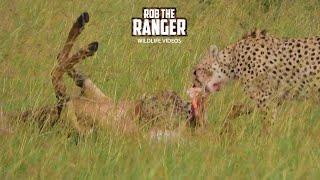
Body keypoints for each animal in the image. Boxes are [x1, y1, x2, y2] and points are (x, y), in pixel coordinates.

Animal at [189, 29, 320, 116]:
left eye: (196, 71)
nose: (193, 86)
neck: (233, 59)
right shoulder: (274, 99)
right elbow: (239, 108)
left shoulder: (264, 98)